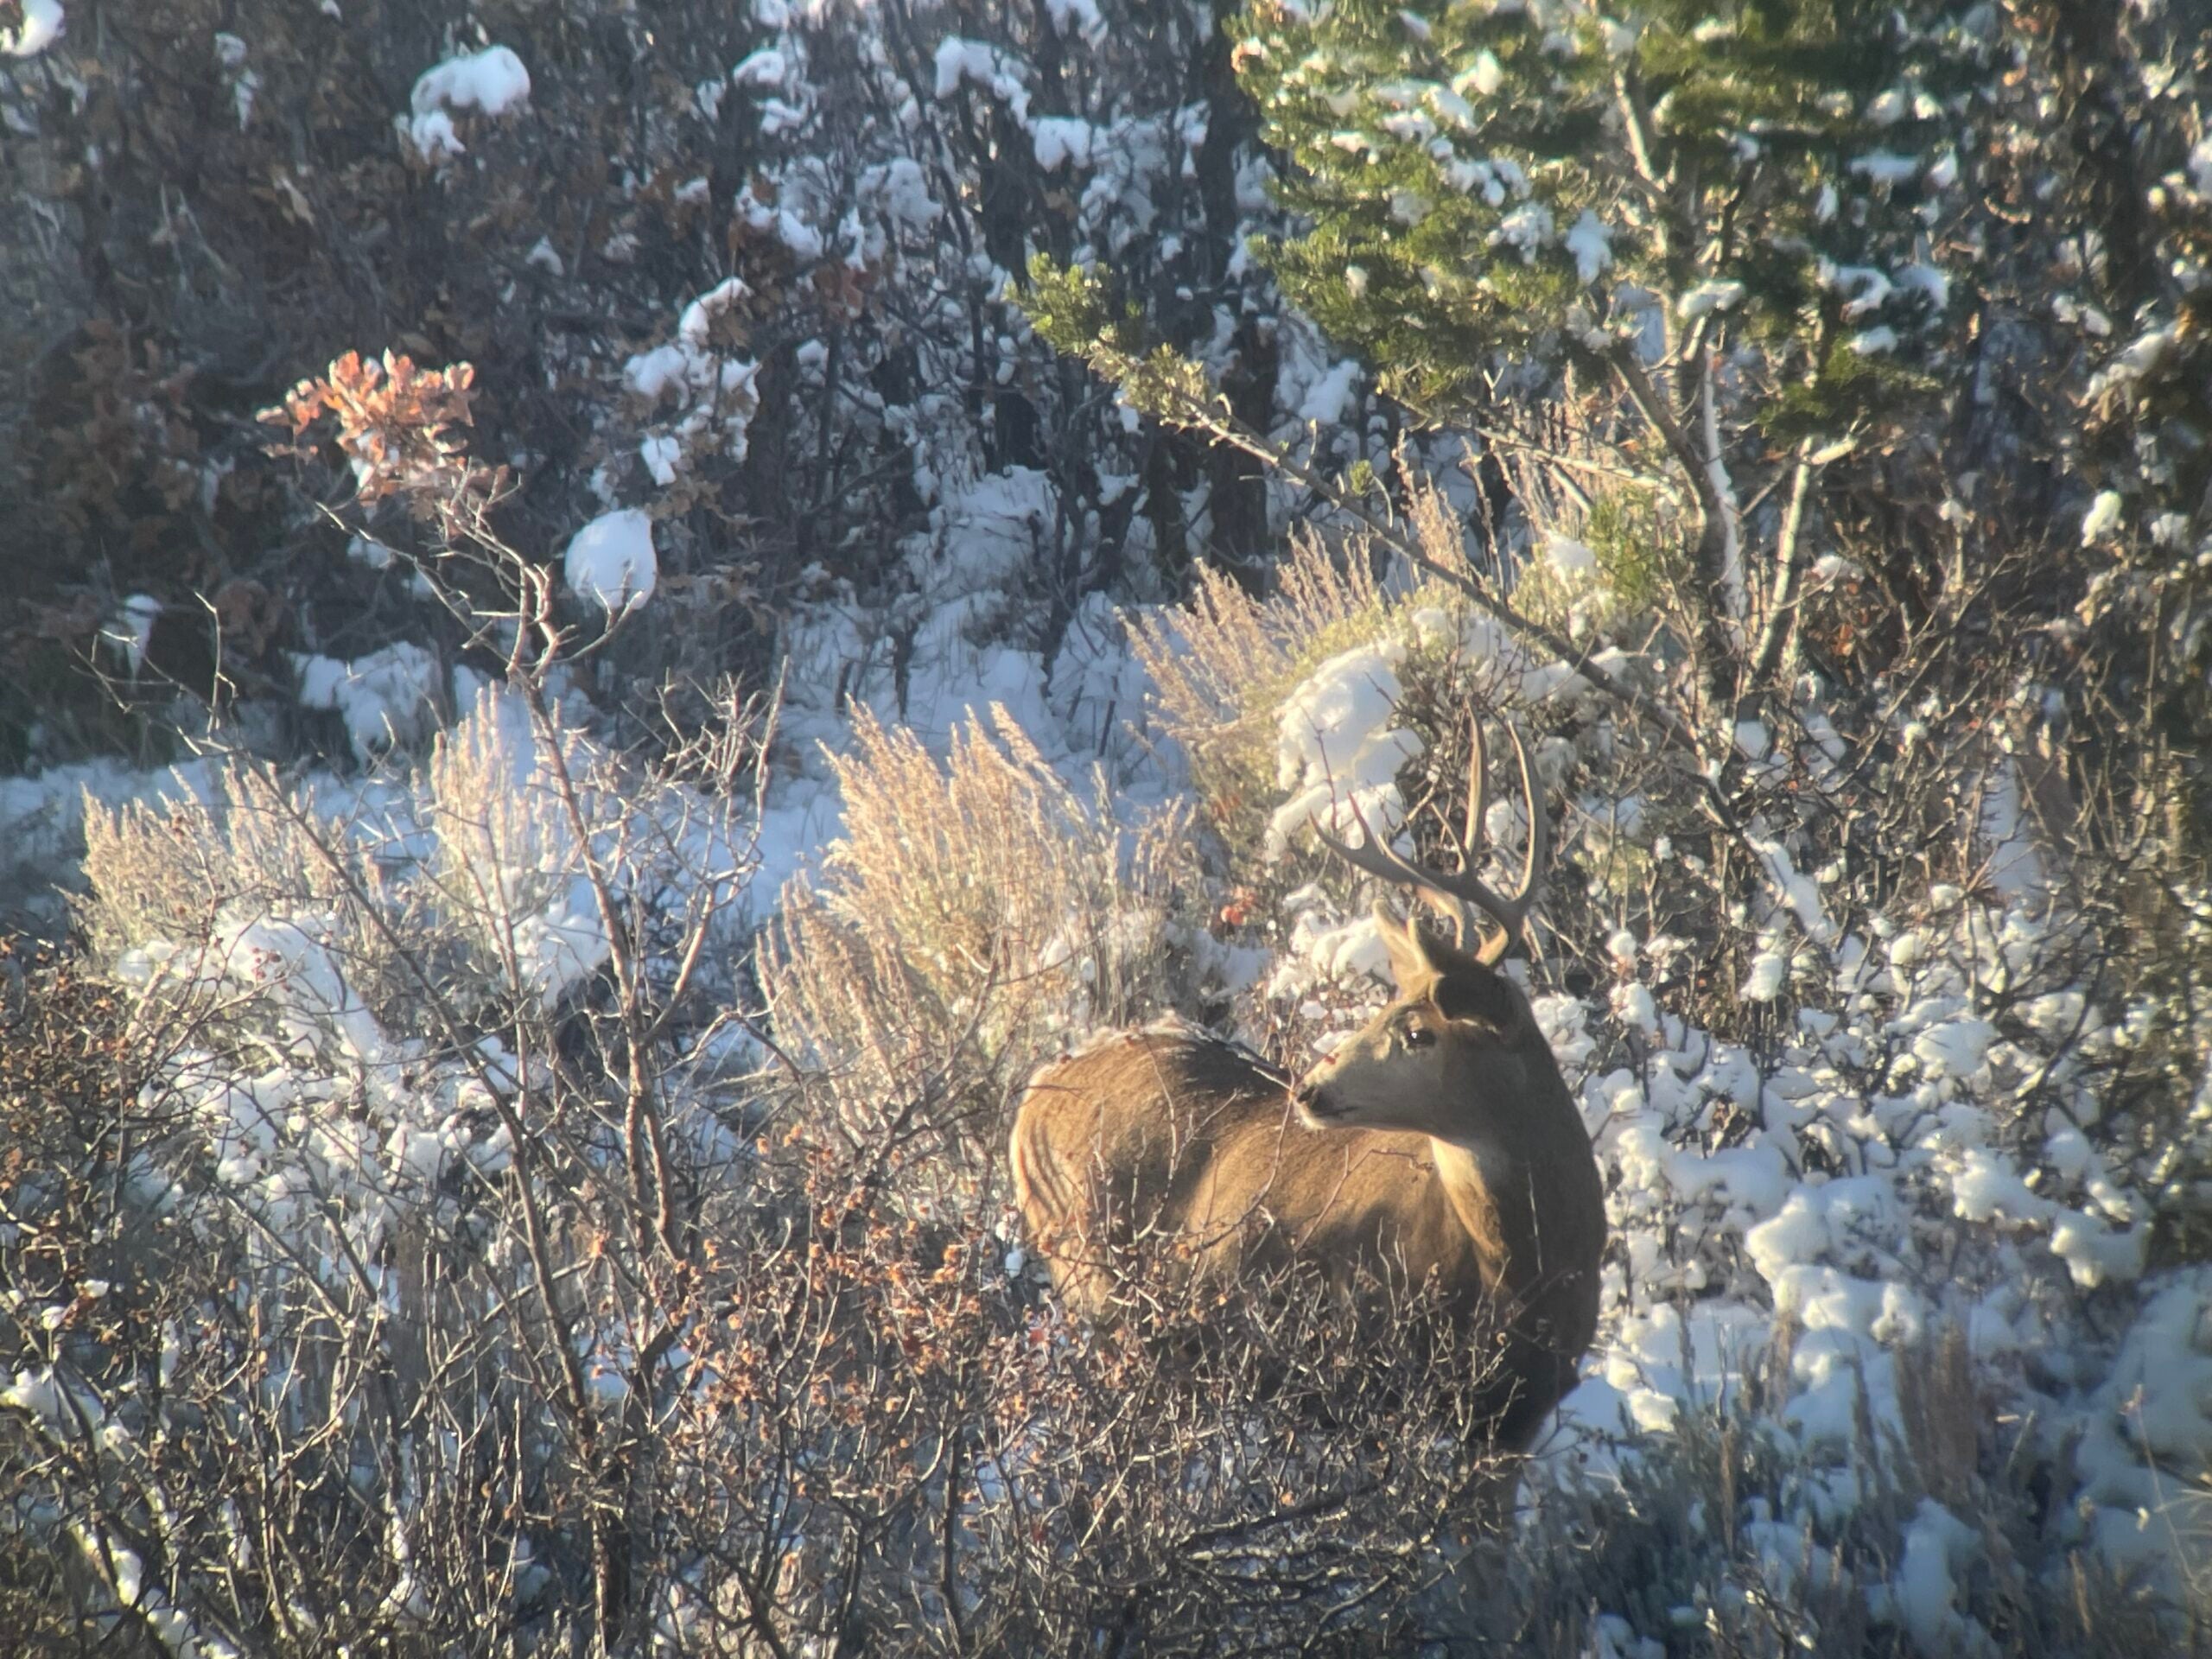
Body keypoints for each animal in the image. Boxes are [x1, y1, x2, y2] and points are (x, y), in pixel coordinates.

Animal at [1009, 717, 1606, 1460]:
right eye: (1389, 1009)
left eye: (1418, 1031)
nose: (1310, 1088)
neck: (1523, 1276)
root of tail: (1033, 1092)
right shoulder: (1378, 1392)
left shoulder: (1515, 1426)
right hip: (1092, 1282)